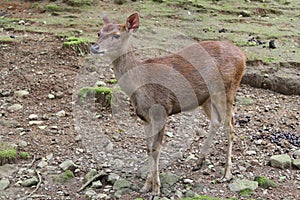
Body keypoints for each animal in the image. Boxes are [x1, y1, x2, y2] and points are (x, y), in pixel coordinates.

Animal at [91, 12, 246, 195]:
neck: (139, 85)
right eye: (99, 32)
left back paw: (227, 173)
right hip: (206, 97)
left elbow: (156, 149)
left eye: (116, 35)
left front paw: (156, 189)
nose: (94, 47)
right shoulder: (145, 117)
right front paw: (146, 186)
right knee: (216, 121)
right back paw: (199, 161)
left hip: (228, 89)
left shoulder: (161, 111)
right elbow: (148, 148)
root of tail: (243, 55)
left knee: (230, 124)